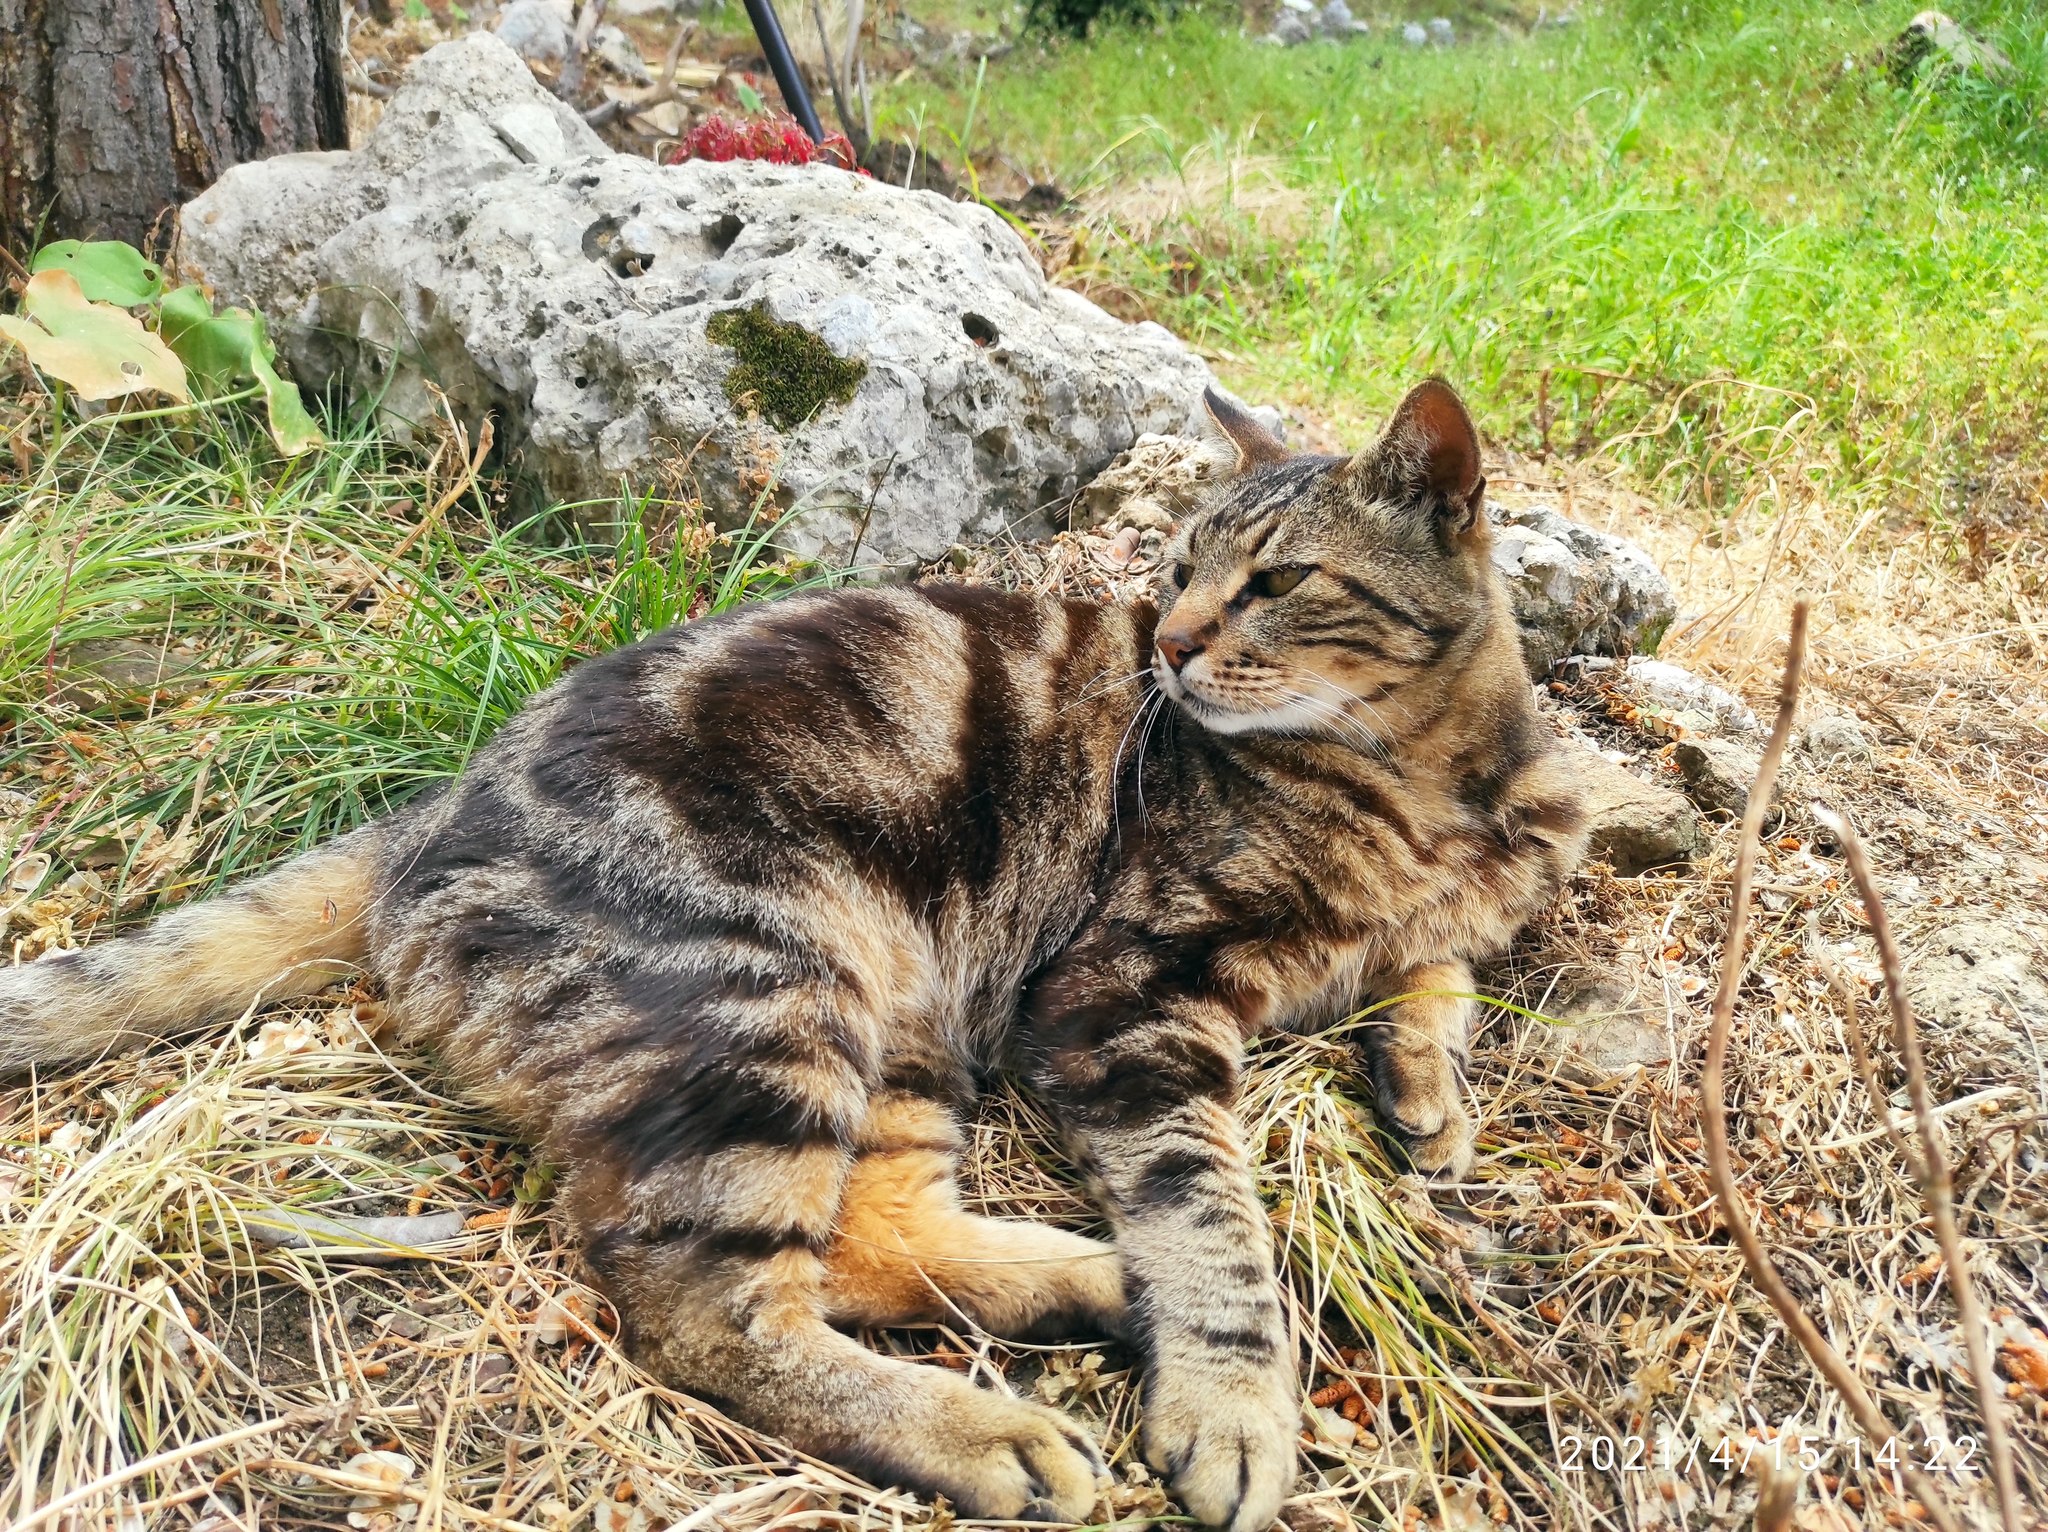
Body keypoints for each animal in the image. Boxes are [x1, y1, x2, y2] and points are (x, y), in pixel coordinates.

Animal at [0, 376, 1581, 1523]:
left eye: (1277, 580)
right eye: (1180, 567)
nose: (1173, 649)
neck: (1429, 785)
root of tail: (433, 810)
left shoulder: (1451, 905)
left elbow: (1440, 966)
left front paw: (1429, 1090)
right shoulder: (1120, 998)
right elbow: (1213, 1221)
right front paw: (1235, 1409)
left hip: (898, 1019)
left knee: (864, 1242)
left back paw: (1080, 1285)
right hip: (773, 998)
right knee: (717, 1315)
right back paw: (994, 1426)